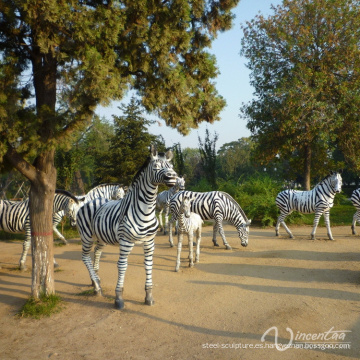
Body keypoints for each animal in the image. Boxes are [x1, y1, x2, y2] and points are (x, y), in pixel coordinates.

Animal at [76, 146, 177, 310]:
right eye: (156, 166)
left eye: (172, 166)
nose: (173, 178)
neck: (145, 210)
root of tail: (90, 201)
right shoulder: (126, 242)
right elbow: (122, 266)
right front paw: (118, 298)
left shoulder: (150, 242)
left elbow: (148, 265)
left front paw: (149, 296)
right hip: (86, 236)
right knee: (85, 257)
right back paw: (97, 287)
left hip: (101, 237)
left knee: (96, 252)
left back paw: (95, 279)